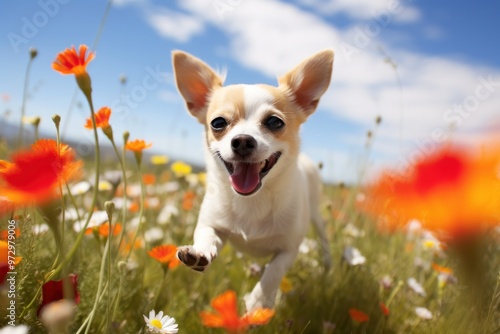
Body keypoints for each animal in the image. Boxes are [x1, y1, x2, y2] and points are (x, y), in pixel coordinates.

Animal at [171, 49, 332, 310]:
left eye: (275, 122)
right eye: (218, 123)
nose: (243, 140)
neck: (253, 200)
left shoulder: (289, 249)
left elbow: (274, 271)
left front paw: (259, 301)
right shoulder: (212, 224)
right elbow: (206, 236)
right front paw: (200, 253)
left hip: (316, 213)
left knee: (323, 237)